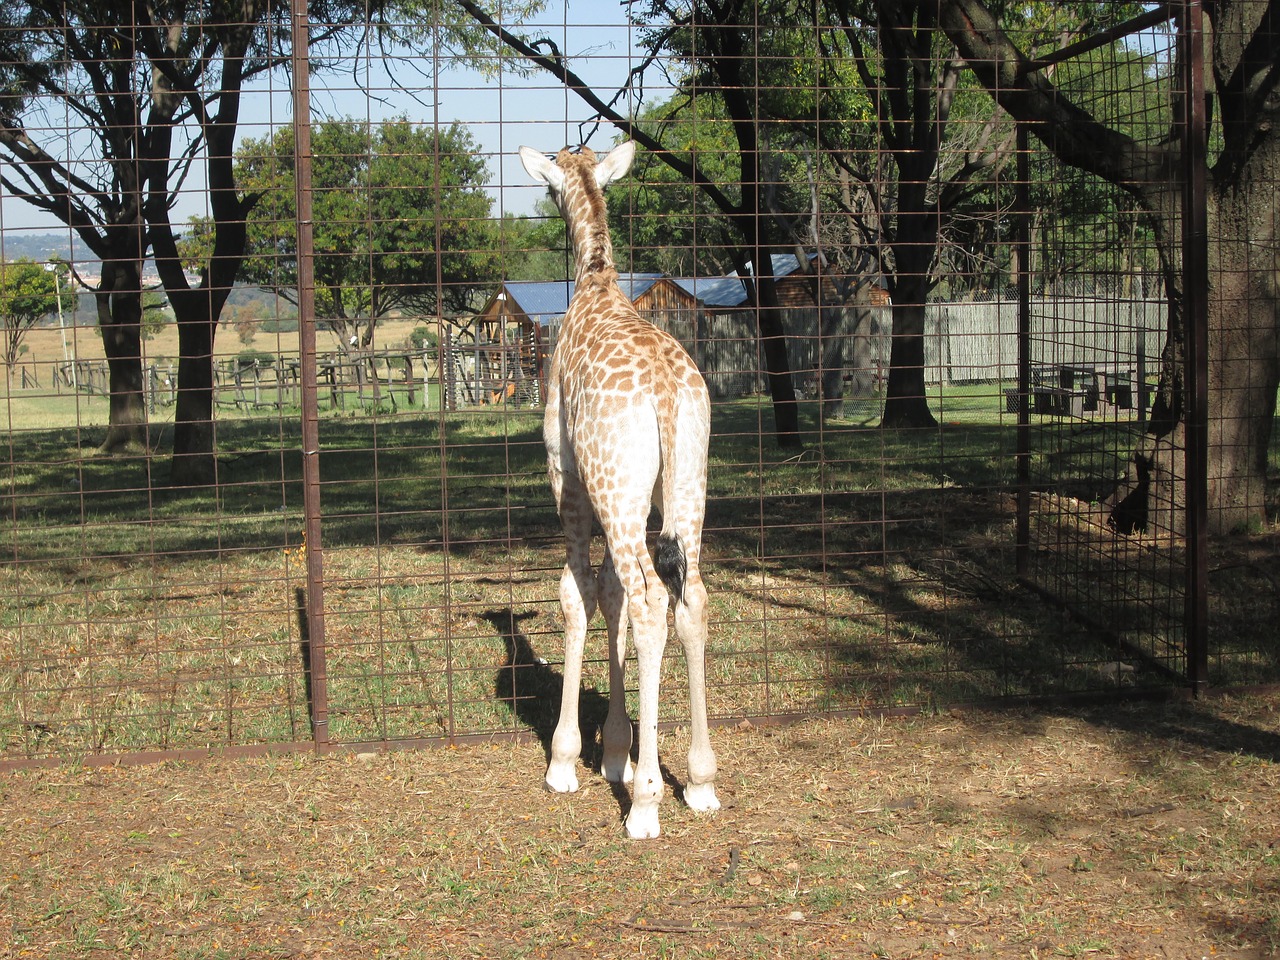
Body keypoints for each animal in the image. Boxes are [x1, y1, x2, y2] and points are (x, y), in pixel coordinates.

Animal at [519, 142, 721, 839]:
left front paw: (567, 762)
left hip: (616, 491)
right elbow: (609, 599)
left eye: (550, 186)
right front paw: (616, 753)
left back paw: (646, 806)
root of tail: (663, 389)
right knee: (691, 599)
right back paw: (701, 780)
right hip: (686, 489)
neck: (597, 280)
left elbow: (578, 593)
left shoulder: (569, 478)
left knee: (649, 600)